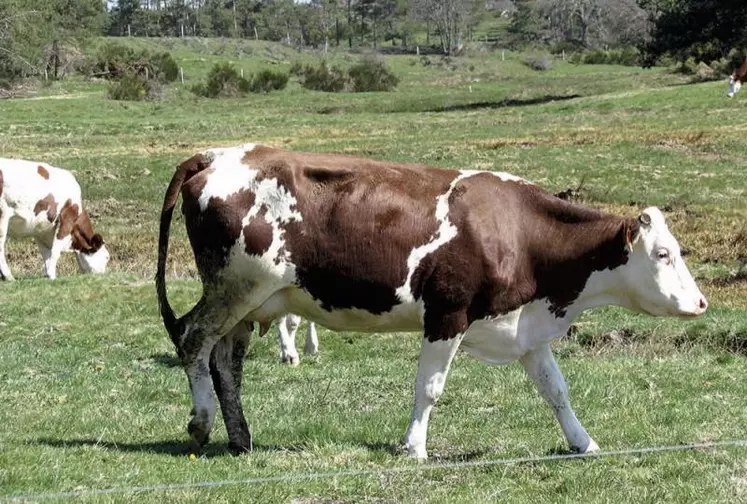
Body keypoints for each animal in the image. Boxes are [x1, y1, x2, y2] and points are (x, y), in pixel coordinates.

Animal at [156, 144, 708, 458]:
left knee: (225, 362)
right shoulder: (447, 314)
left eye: (677, 250)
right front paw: (415, 447)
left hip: (250, 303)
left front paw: (583, 442)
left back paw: (240, 438)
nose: (701, 303)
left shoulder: (526, 328)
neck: (517, 231)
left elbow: (557, 392)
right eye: (663, 253)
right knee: (192, 339)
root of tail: (218, 155)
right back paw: (202, 424)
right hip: (234, 289)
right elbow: (430, 389)